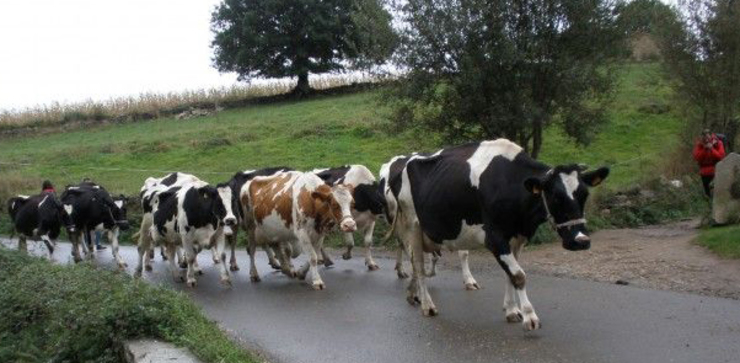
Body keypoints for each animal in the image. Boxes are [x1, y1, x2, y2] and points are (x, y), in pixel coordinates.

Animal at [388, 138, 608, 332]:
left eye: (584, 194)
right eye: (556, 196)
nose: (581, 241)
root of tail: (405, 161)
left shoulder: (517, 238)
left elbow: (510, 274)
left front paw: (512, 310)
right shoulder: (494, 237)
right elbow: (518, 275)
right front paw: (530, 317)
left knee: (417, 264)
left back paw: (412, 294)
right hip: (412, 227)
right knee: (418, 265)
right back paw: (427, 305)